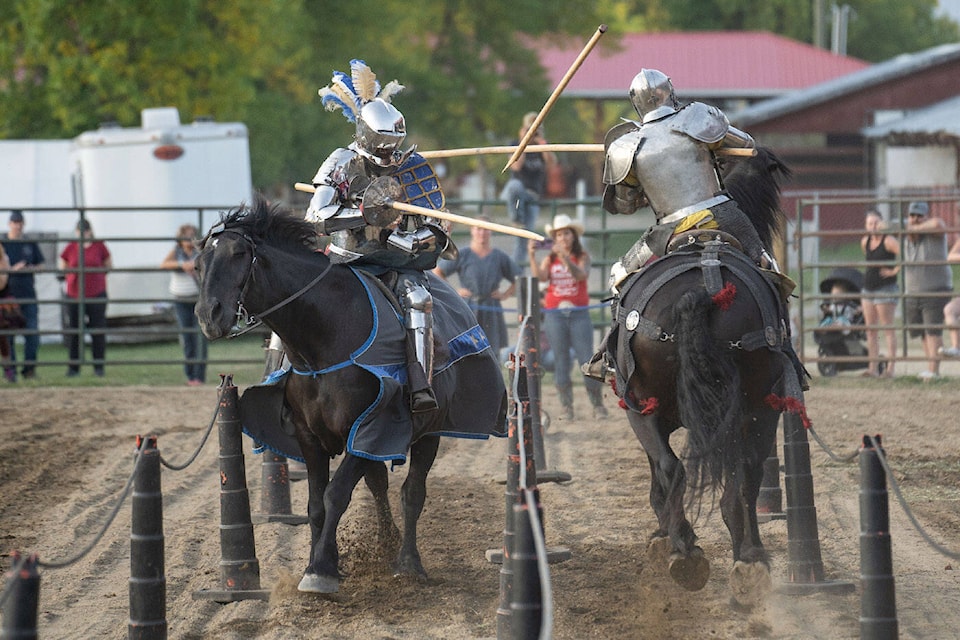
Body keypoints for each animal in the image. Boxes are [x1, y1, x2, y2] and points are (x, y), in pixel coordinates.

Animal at [197, 198, 510, 592]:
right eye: (200, 261)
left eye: (239, 253)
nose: (209, 315)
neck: (325, 335)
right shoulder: (311, 437)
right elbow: (317, 504)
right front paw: (319, 561)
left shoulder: (371, 427)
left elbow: (337, 494)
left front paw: (320, 570)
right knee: (379, 484)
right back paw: (387, 542)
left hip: (431, 432)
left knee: (412, 492)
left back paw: (408, 562)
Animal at [608, 149, 804, 604]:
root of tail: (699, 291)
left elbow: (660, 477)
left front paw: (664, 537)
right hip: (755, 408)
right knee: (740, 478)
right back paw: (746, 560)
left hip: (647, 408)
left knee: (678, 469)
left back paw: (687, 551)